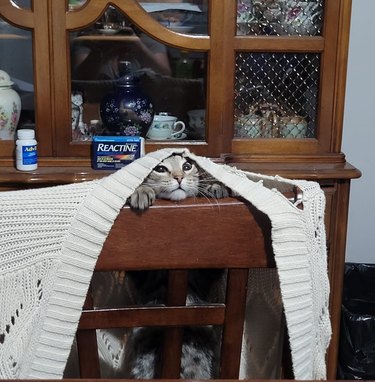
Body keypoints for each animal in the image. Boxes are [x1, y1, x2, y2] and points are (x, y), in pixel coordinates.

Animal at [122, 154, 231, 380]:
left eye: (187, 166)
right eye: (160, 168)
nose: (179, 177)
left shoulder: (208, 274)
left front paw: (217, 186)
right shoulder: (140, 276)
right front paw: (140, 191)